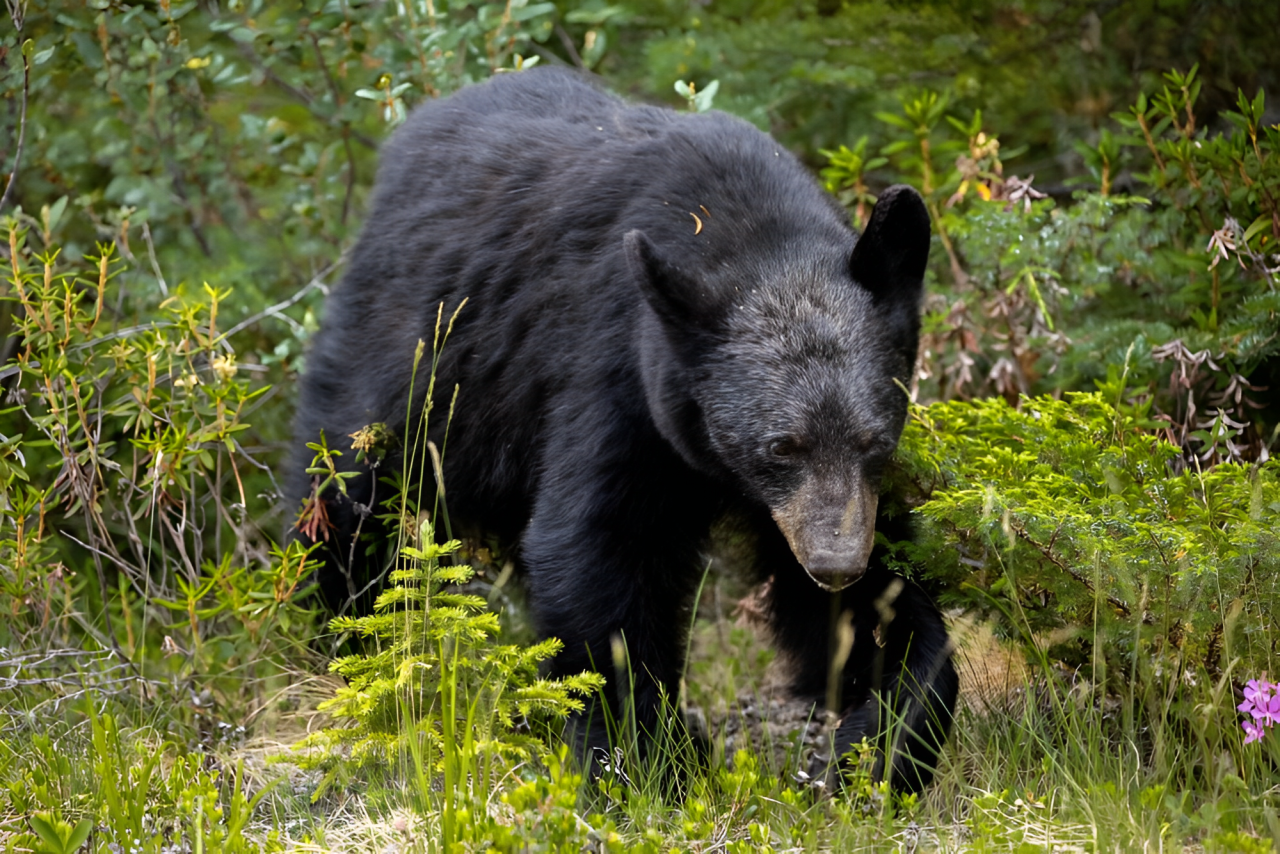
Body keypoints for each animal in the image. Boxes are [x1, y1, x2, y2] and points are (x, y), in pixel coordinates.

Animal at [290, 66, 952, 793]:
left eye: (874, 441)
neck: (747, 230)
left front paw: (879, 739)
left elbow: (874, 604)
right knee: (348, 497)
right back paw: (347, 636)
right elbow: (600, 550)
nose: (836, 565)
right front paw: (650, 759)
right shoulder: (616, 373)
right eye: (780, 446)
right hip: (413, 363)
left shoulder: (823, 499)